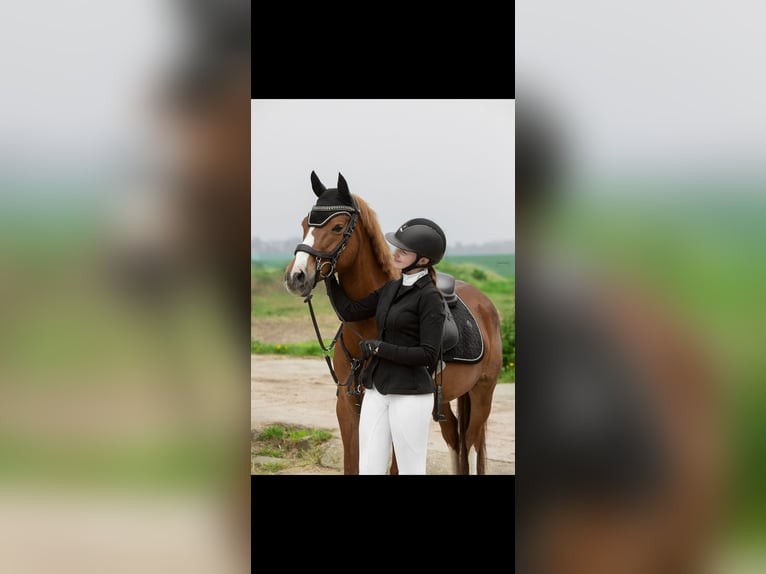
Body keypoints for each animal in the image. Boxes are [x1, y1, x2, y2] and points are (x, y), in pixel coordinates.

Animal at [283, 171, 503, 475]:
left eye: (338, 227)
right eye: (305, 224)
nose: (297, 276)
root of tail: (484, 304)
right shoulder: (347, 407)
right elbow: (352, 464)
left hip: (483, 392)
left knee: (470, 444)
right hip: (446, 398)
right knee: (454, 438)